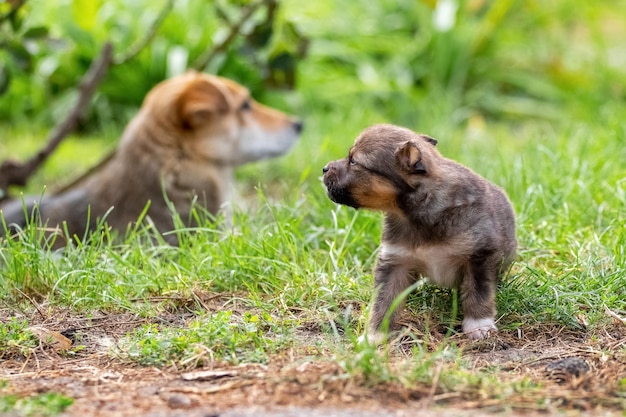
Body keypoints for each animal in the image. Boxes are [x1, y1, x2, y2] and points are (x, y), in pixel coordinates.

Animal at [320, 123, 516, 342]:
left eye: (353, 161)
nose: (324, 168)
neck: (415, 213)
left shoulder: (480, 255)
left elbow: (478, 292)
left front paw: (479, 326)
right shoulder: (395, 261)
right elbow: (383, 303)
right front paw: (374, 336)